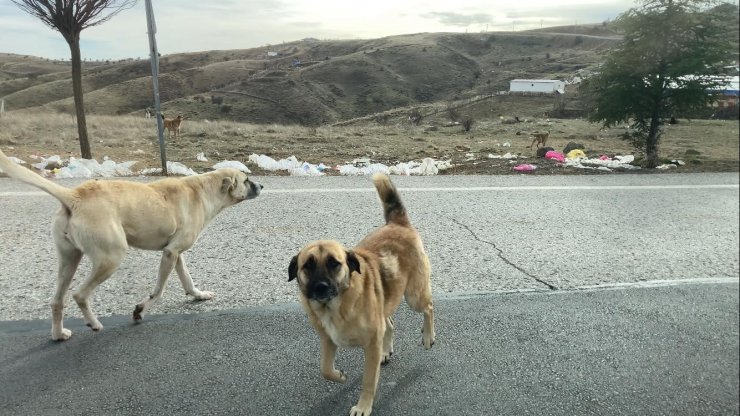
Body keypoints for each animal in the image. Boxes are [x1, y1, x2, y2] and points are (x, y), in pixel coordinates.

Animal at [0, 150, 264, 342]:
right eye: (246, 179)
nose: (261, 186)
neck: (204, 190)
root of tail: (75, 196)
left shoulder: (175, 253)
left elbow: (187, 279)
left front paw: (198, 295)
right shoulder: (170, 253)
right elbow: (158, 291)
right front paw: (141, 311)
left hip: (69, 259)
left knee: (57, 300)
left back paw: (57, 334)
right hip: (112, 257)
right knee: (79, 294)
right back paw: (94, 324)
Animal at [288, 172, 434, 416]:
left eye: (334, 263)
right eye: (307, 265)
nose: (321, 287)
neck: (336, 307)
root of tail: (397, 223)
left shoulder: (371, 344)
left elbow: (368, 381)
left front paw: (364, 406)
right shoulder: (328, 340)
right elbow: (325, 368)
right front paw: (339, 376)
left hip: (415, 296)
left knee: (429, 308)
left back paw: (428, 337)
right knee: (390, 322)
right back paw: (387, 350)